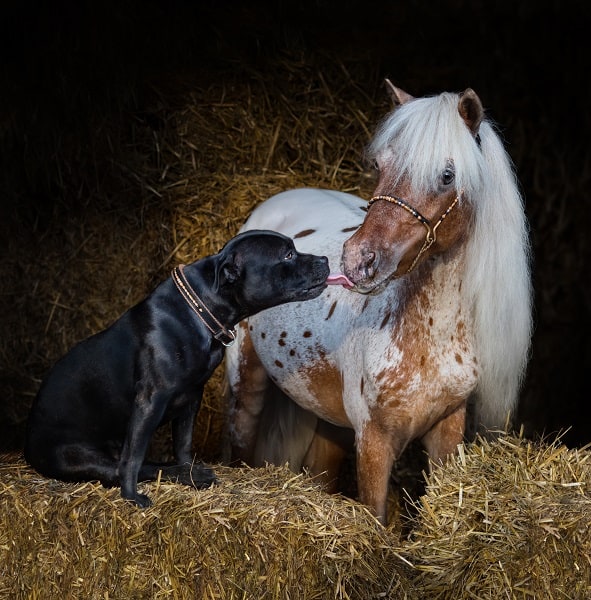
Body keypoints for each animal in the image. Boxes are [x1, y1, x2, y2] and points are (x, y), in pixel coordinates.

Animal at [25, 230, 330, 506]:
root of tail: (27, 449)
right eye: (287, 255)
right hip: (77, 455)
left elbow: (183, 444)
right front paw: (132, 497)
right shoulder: (149, 401)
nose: (326, 258)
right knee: (122, 465)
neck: (200, 308)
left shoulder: (191, 398)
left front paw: (190, 472)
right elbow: (133, 457)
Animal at [224, 82, 536, 524]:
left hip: (328, 420)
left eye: (447, 175)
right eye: (380, 164)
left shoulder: (446, 430)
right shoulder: (373, 441)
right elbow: (377, 519)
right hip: (245, 382)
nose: (357, 260)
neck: (429, 333)